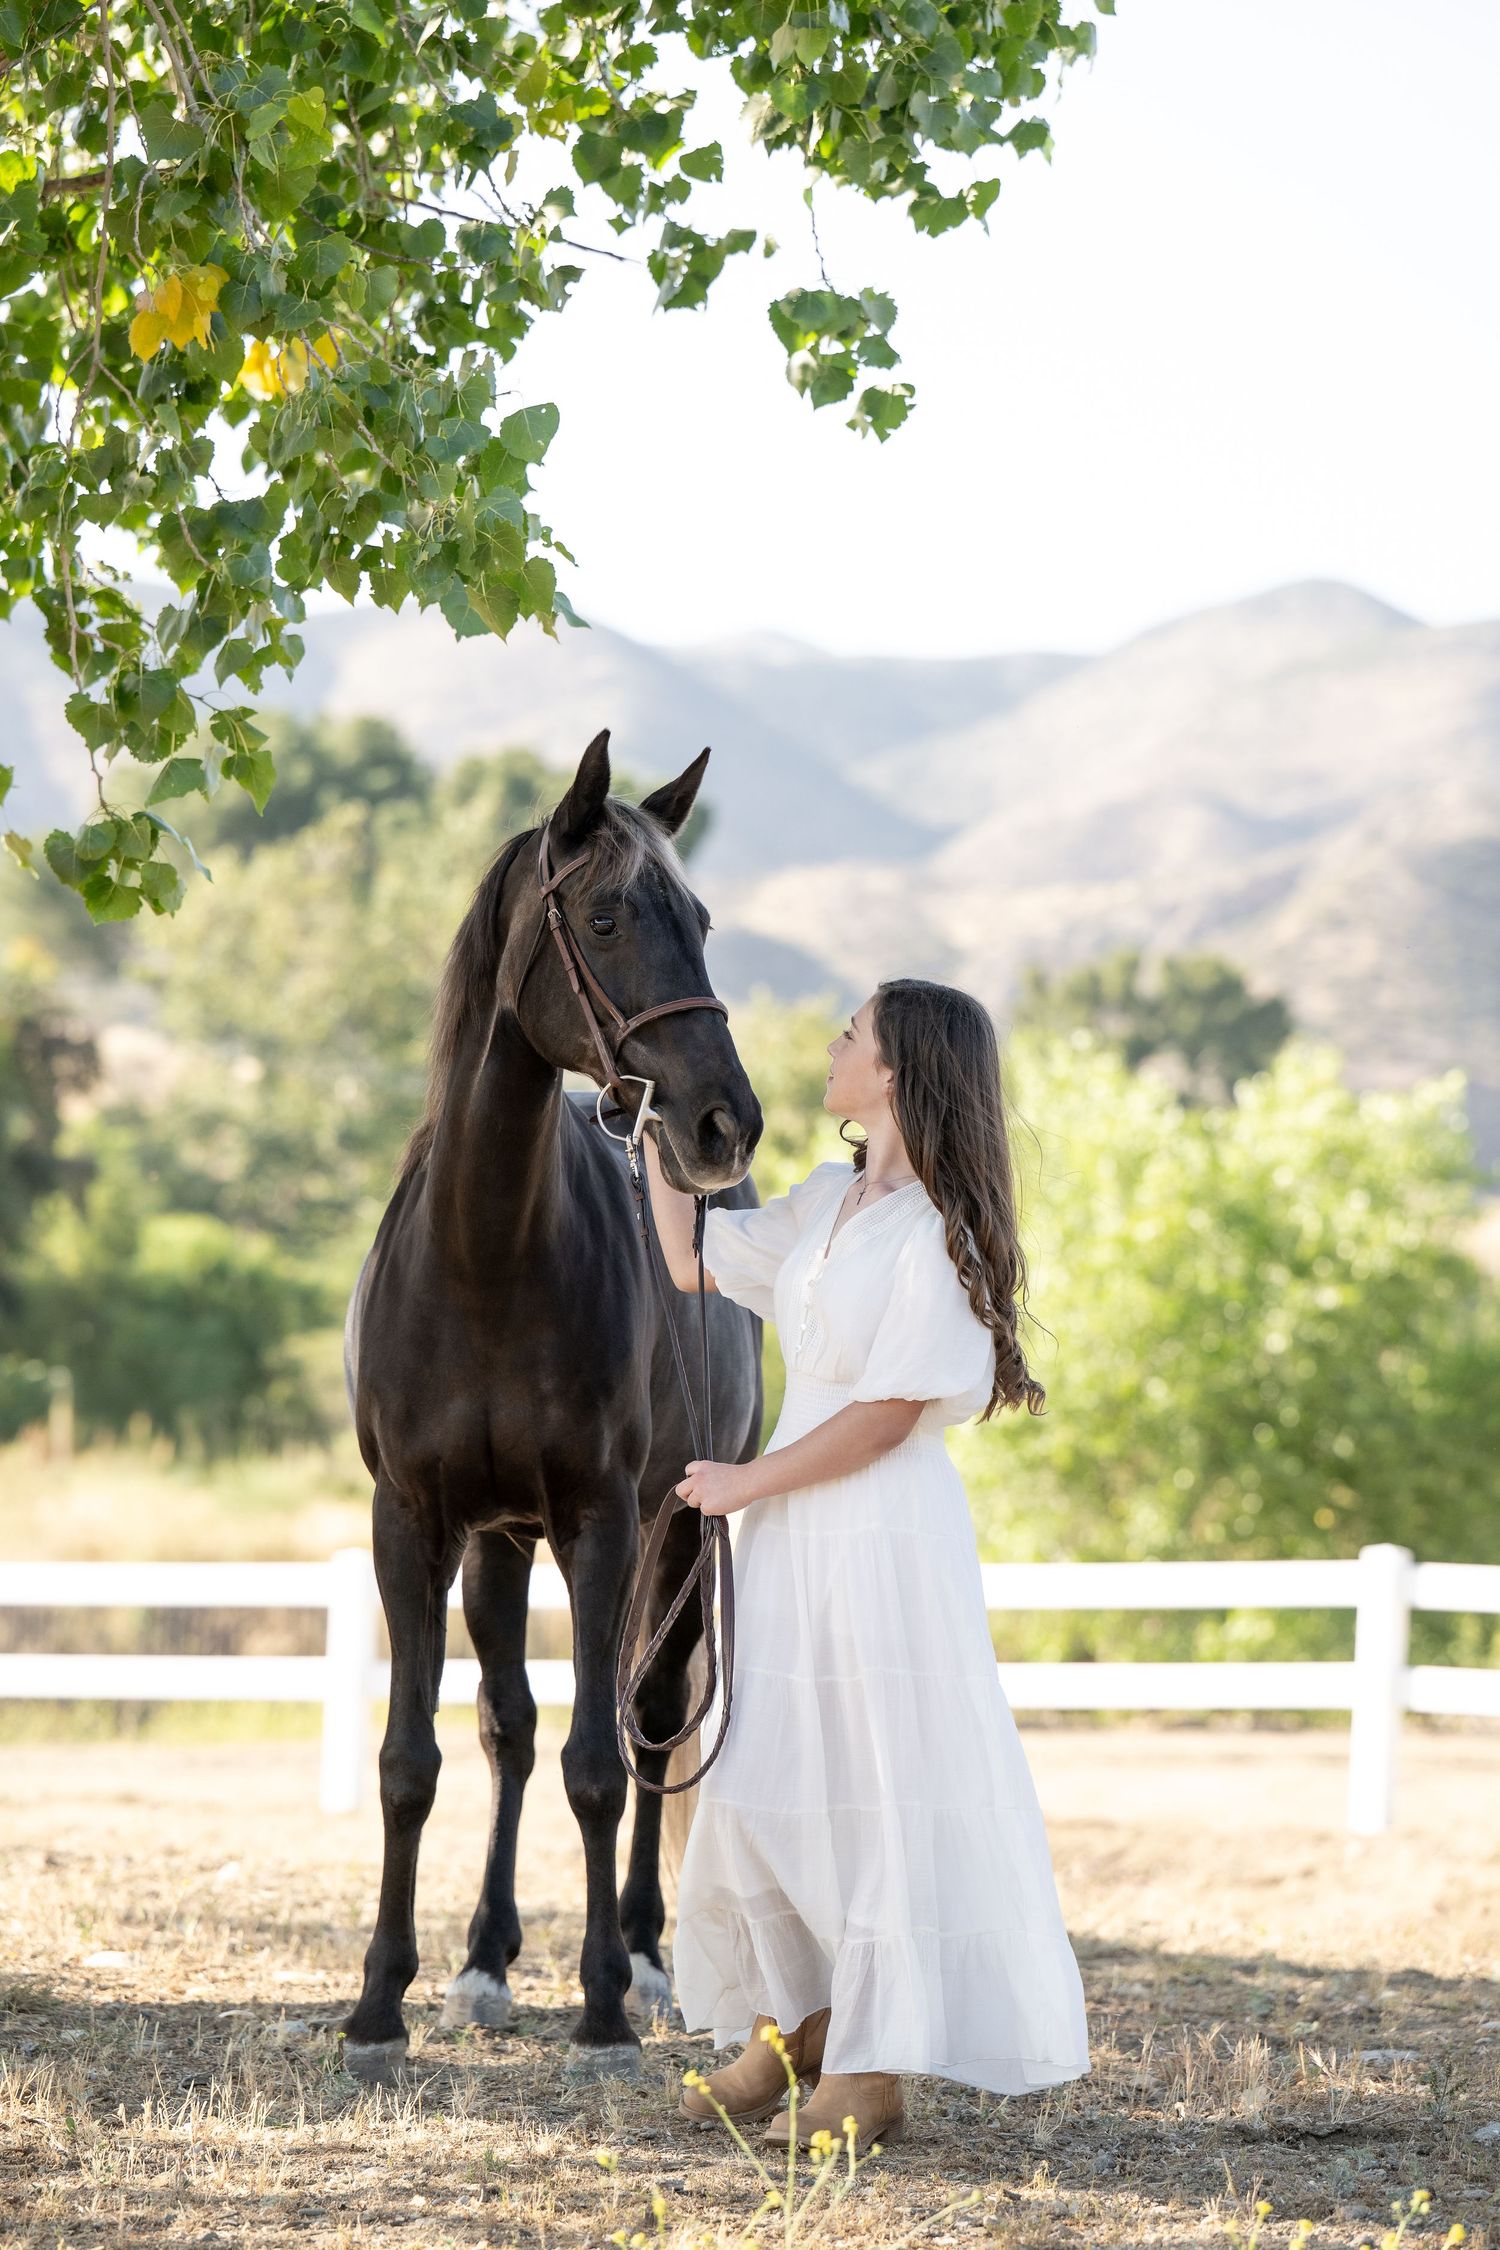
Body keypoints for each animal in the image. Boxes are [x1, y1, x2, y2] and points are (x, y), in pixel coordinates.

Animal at [338, 729, 765, 2082]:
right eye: (610, 914)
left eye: (703, 919)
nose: (724, 1121)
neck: (486, 1256)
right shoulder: (416, 1523)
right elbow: (415, 1760)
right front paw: (381, 2003)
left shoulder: (602, 1522)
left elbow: (597, 1765)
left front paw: (603, 2005)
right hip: (501, 1546)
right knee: (508, 1732)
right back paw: (484, 1958)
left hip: (677, 1533)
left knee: (651, 1722)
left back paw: (644, 1954)